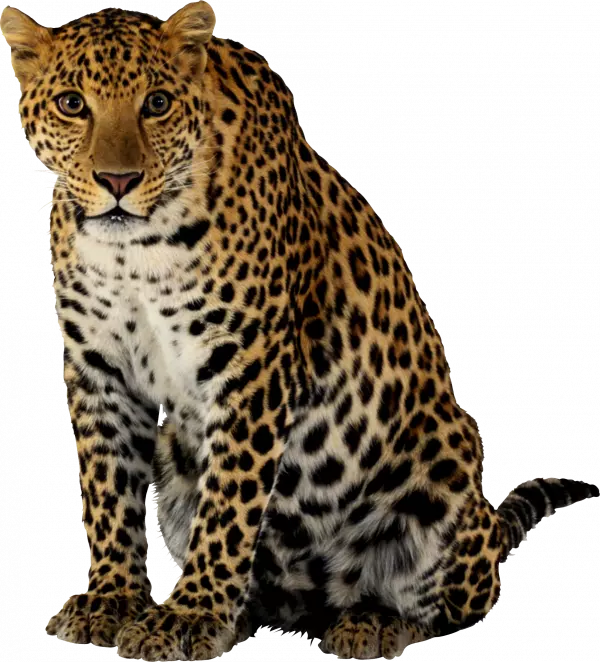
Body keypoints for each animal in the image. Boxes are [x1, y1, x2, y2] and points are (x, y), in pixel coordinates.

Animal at [1, 2, 597, 660]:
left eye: (156, 103)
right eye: (72, 104)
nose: (118, 181)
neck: (136, 250)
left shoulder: (251, 365)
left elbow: (228, 505)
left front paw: (187, 615)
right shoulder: (98, 368)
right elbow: (109, 494)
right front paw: (112, 600)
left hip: (446, 464)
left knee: (456, 602)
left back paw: (372, 622)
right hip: (176, 464)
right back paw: (247, 615)